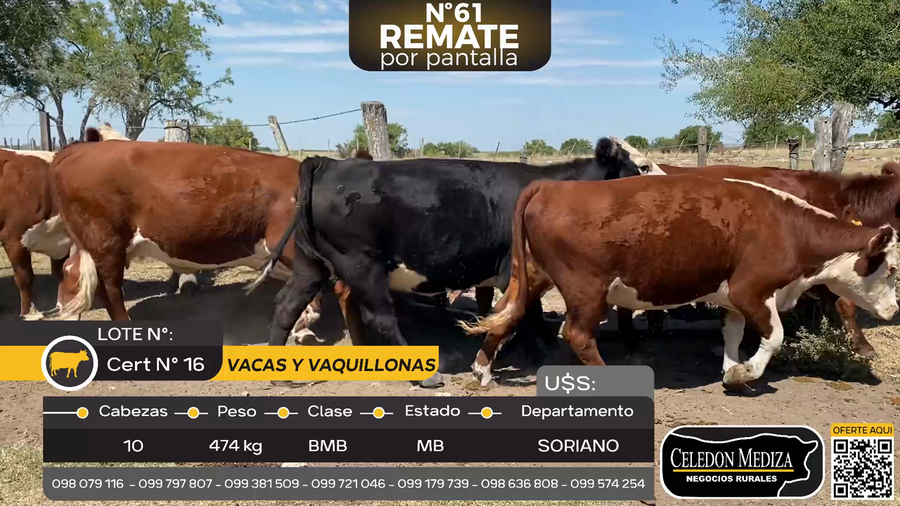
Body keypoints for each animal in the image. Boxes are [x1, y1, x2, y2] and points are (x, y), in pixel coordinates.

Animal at [253, 137, 660, 386]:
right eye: (641, 166)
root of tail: (329, 164)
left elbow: (518, 313)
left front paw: (532, 349)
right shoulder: (517, 273)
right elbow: (520, 314)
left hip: (312, 264)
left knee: (286, 304)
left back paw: (280, 371)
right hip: (362, 265)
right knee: (380, 315)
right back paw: (421, 373)